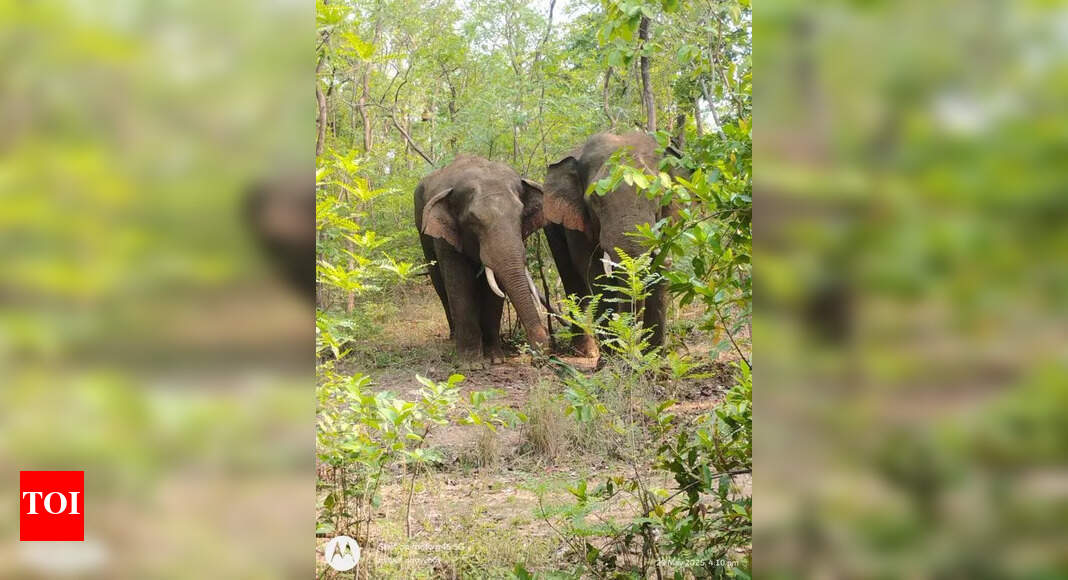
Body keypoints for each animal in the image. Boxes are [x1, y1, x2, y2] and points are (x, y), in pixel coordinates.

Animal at [415, 154, 549, 365]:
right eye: (473, 220)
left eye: (521, 215)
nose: (539, 358)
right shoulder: (447, 239)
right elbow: (459, 283)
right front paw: (471, 363)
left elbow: (494, 290)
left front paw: (496, 359)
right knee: (439, 284)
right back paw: (453, 337)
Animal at [542, 132, 681, 357]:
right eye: (595, 198)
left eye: (659, 193)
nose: (633, 352)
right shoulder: (576, 222)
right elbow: (591, 269)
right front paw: (613, 356)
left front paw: (654, 358)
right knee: (572, 279)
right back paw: (586, 353)